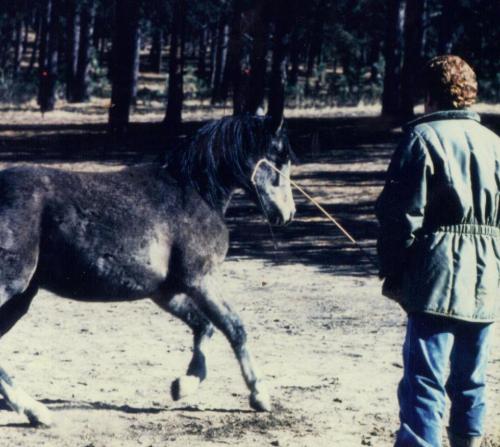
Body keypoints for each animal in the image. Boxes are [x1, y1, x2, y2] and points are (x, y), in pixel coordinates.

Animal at [0, 114, 296, 428]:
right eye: (280, 157)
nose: (288, 214)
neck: (195, 193)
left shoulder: (165, 291)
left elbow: (203, 326)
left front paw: (183, 385)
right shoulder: (200, 280)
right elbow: (234, 328)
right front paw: (260, 395)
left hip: (20, 299)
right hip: (10, 288)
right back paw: (37, 411)